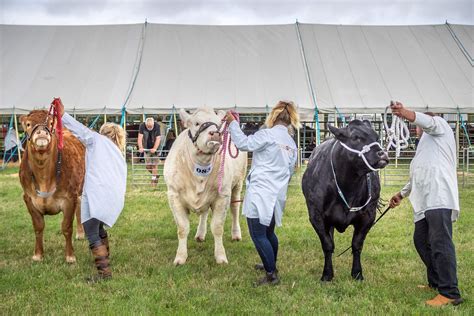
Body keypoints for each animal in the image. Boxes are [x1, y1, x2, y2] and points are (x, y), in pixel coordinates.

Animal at [19, 110, 86, 262]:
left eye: (50, 122)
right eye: (28, 124)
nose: (42, 132)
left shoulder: (69, 198)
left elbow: (66, 227)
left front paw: (70, 256)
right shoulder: (28, 198)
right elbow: (38, 226)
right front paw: (38, 254)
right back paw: (80, 233)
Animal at [165, 107, 248, 266]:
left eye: (218, 125)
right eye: (197, 123)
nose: (215, 133)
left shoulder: (223, 196)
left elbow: (217, 227)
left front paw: (220, 256)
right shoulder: (174, 196)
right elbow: (182, 228)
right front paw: (180, 257)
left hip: (238, 183)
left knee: (235, 209)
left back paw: (236, 234)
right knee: (204, 213)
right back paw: (200, 234)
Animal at [304, 120, 388, 282]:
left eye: (376, 135)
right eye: (355, 137)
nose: (383, 154)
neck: (349, 185)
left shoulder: (368, 216)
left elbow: (357, 244)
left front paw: (357, 273)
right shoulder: (316, 215)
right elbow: (327, 244)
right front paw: (327, 274)